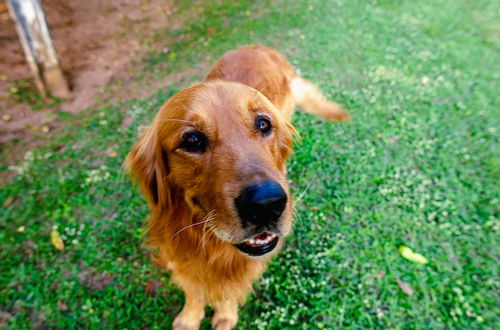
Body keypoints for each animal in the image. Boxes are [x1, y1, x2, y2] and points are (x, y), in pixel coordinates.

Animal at [126, 44, 348, 330]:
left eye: (263, 123)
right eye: (192, 139)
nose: (267, 204)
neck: (211, 245)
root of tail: (259, 46)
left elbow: (228, 292)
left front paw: (225, 315)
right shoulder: (179, 254)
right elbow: (193, 290)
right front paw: (189, 317)